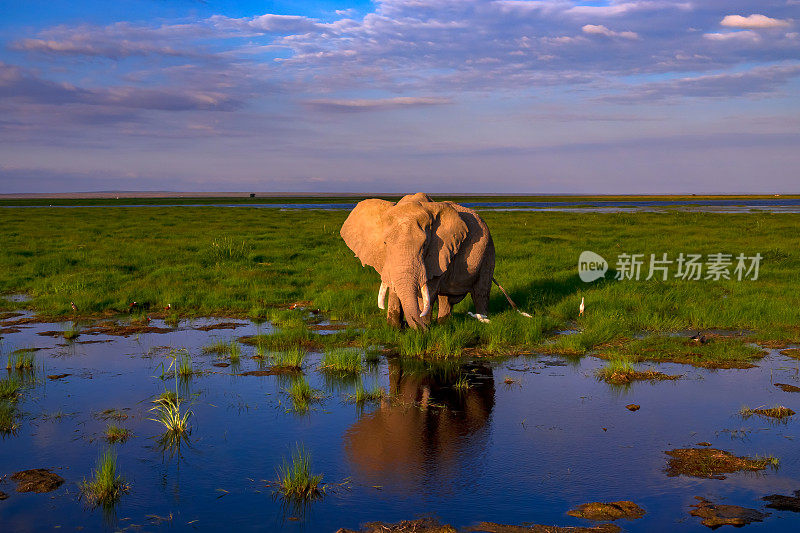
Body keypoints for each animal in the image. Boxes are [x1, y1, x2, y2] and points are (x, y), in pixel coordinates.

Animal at [340, 192, 496, 328]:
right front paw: (395, 328)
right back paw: (442, 323)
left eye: (425, 245)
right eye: (385, 243)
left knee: (480, 292)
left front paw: (422, 327)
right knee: (446, 299)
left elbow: (428, 290)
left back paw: (481, 318)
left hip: (488, 250)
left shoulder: (438, 255)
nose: (406, 324)